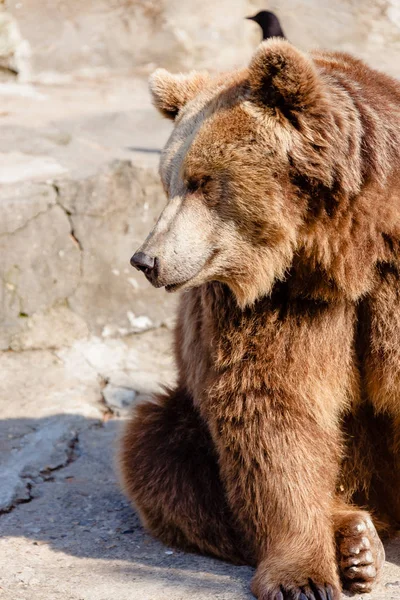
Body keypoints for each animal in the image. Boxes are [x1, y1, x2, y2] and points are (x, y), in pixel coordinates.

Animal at [119, 38, 400, 600]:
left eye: (202, 181)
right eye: (168, 182)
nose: (146, 259)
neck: (339, 255)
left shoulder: (388, 276)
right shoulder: (266, 302)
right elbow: (271, 406)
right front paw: (304, 578)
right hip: (186, 419)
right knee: (159, 452)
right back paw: (356, 539)